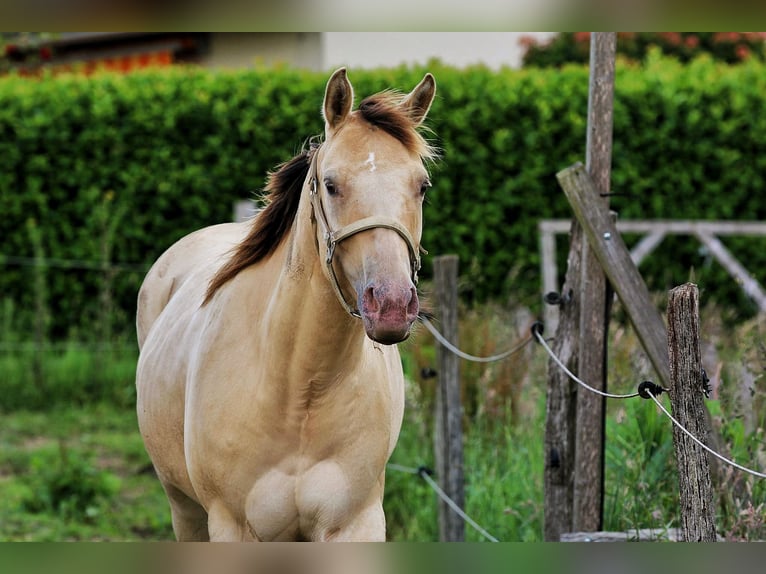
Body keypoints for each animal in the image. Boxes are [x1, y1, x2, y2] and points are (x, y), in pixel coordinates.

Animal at [135, 70, 438, 544]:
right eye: (331, 184)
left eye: (422, 186)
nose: (390, 304)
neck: (301, 389)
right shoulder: (232, 526)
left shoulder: (356, 524)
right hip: (184, 508)